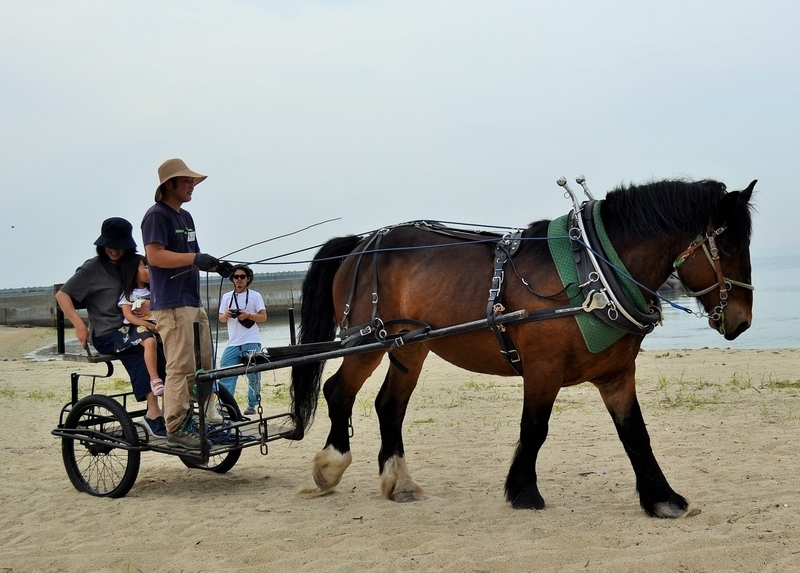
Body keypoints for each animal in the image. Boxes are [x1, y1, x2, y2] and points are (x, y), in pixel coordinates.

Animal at [290, 177, 756, 516]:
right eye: (729, 244)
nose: (742, 321)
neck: (593, 273)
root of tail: (362, 242)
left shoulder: (617, 374)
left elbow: (635, 433)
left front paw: (661, 498)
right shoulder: (543, 368)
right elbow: (534, 429)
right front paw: (523, 491)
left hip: (409, 346)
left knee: (389, 405)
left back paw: (398, 481)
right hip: (367, 340)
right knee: (339, 391)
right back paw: (331, 466)